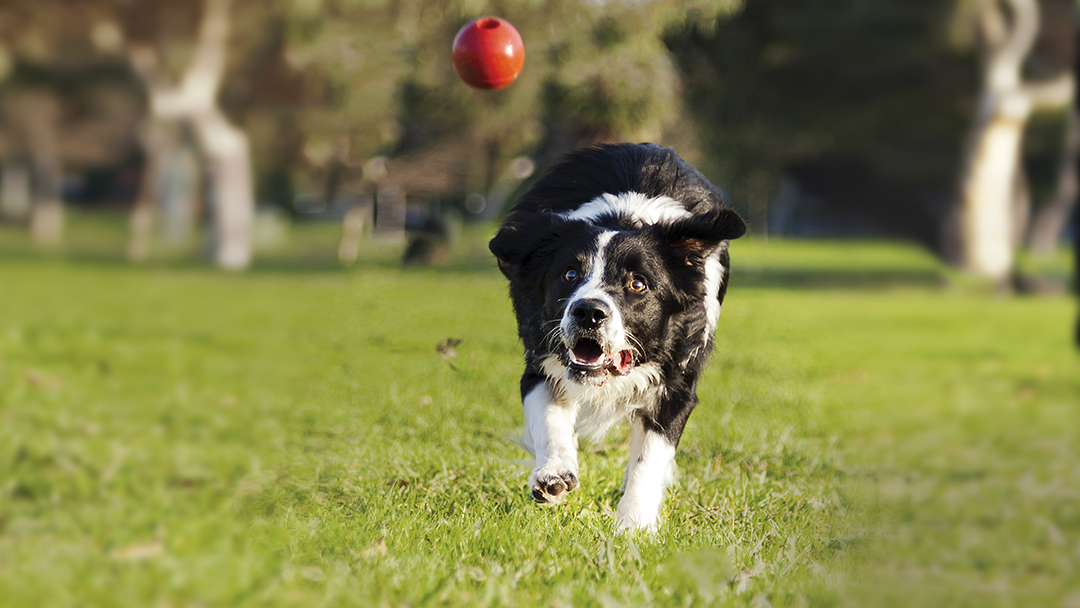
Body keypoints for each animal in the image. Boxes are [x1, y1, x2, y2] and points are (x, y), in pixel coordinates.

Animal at [488, 143, 743, 533]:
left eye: (637, 284)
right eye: (570, 273)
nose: (588, 312)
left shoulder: (677, 380)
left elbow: (649, 457)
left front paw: (633, 525)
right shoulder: (541, 357)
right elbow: (548, 418)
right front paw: (553, 473)